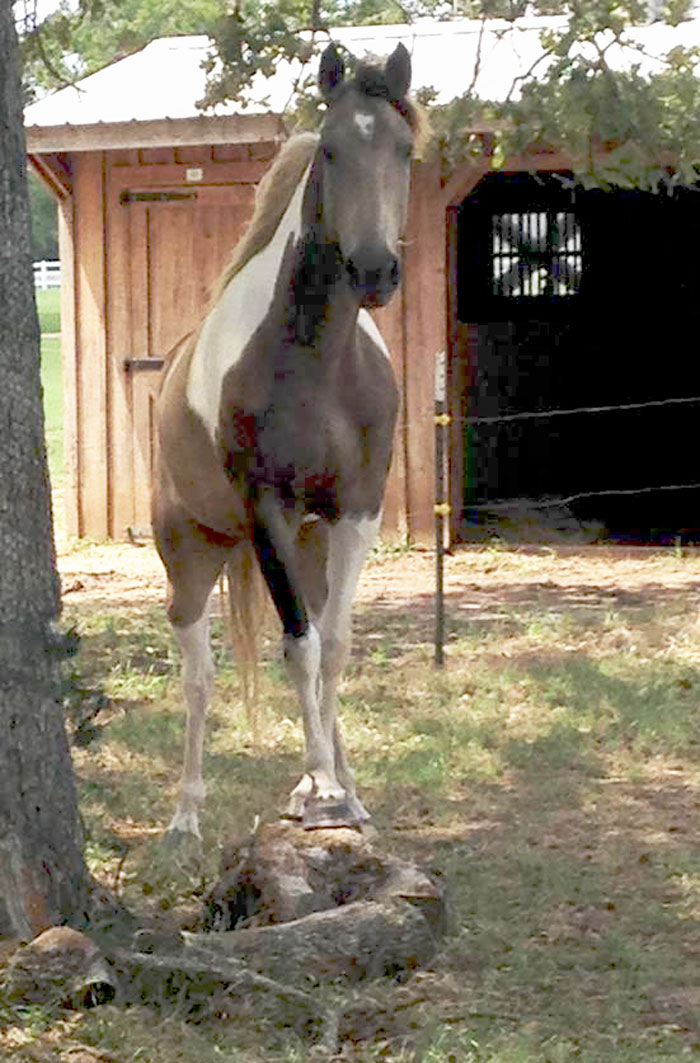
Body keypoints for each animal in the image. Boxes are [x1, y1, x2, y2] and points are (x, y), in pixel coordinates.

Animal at [154, 39, 422, 837]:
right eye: (330, 150)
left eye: (403, 148)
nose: (375, 270)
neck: (316, 362)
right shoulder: (266, 511)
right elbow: (297, 646)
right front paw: (320, 784)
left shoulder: (357, 512)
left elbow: (334, 645)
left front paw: (337, 791)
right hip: (191, 551)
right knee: (199, 673)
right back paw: (186, 814)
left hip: (308, 545)